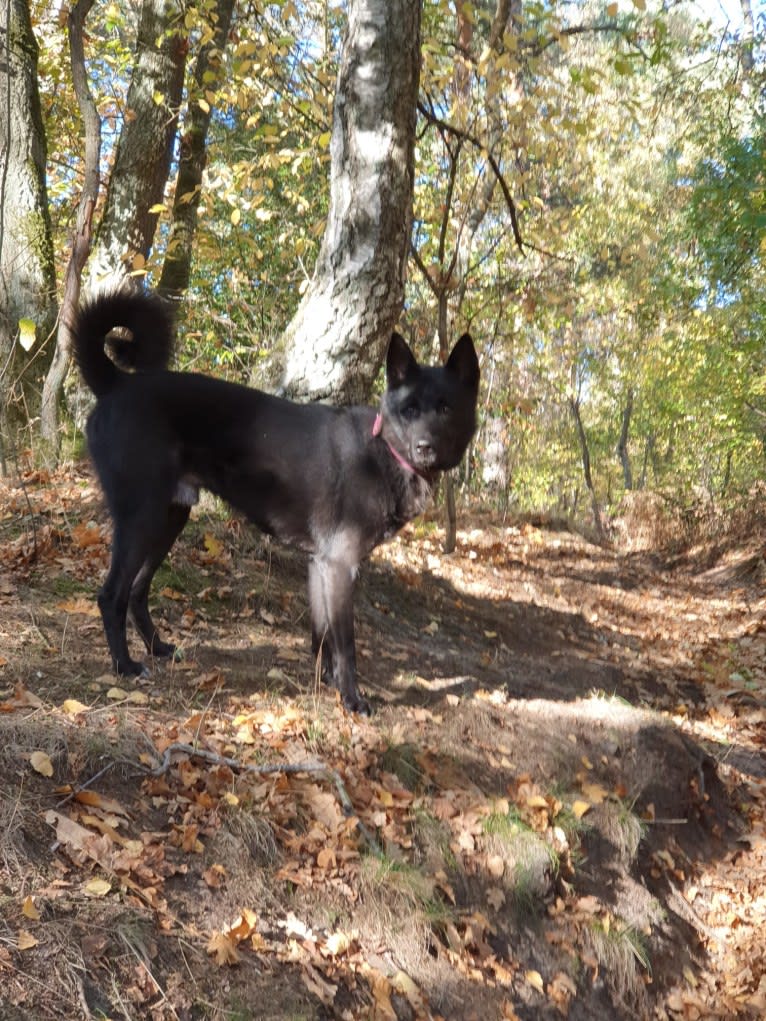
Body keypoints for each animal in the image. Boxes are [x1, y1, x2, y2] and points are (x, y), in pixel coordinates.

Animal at [73, 292, 480, 714]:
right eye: (409, 409)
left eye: (446, 408)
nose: (425, 448)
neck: (382, 448)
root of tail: (115, 384)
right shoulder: (340, 566)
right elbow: (346, 646)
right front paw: (352, 699)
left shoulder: (320, 565)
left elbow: (322, 636)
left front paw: (325, 683)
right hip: (142, 518)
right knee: (112, 595)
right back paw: (124, 666)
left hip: (169, 518)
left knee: (138, 590)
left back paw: (157, 647)